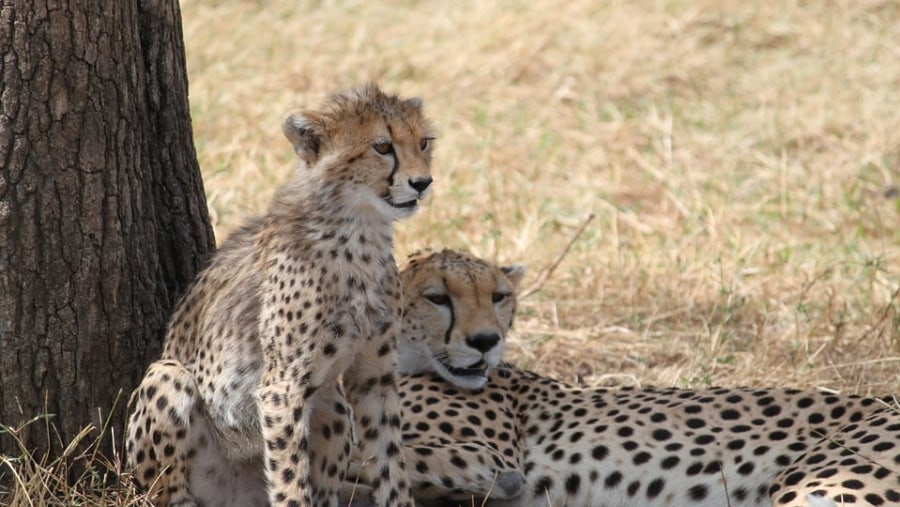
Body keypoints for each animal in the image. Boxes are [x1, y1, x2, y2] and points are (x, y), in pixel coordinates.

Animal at [126, 84, 432, 507]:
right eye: (383, 146)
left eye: (423, 142)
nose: (424, 182)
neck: (361, 231)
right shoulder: (281, 388)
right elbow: (290, 480)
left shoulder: (374, 378)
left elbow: (390, 462)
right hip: (168, 379)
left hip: (333, 407)